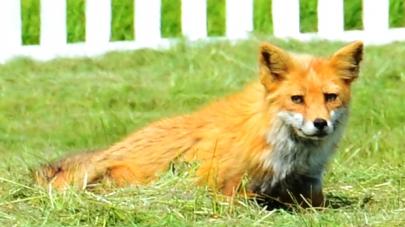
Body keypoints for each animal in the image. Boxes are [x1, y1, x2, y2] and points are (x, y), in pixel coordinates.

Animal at [35, 40, 362, 207]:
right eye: (297, 99)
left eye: (330, 97)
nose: (320, 123)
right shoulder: (220, 184)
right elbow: (242, 196)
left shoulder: (310, 186)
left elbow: (316, 202)